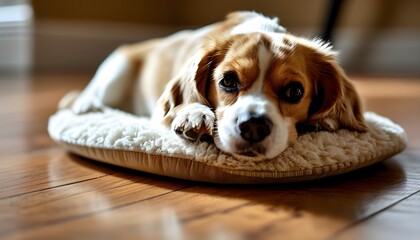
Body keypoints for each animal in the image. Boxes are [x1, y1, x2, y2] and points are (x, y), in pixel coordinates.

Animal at [68, 11, 364, 161]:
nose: (254, 126)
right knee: (92, 92)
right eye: (228, 81)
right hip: (117, 68)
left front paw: (324, 120)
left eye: (294, 91)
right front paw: (194, 113)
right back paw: (86, 105)